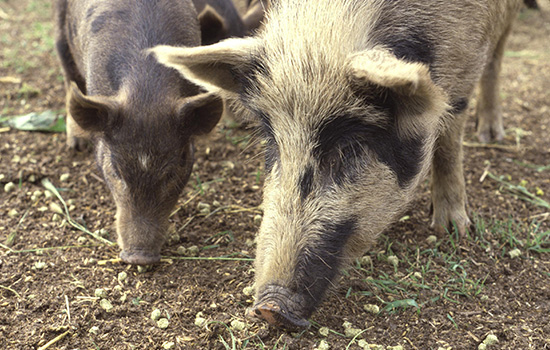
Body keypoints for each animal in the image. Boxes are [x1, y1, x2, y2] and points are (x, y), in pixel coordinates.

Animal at [56, 0, 224, 264]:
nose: (138, 257)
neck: (146, 92)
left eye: (172, 172)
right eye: (116, 171)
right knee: (68, 76)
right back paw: (76, 145)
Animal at [153, 0, 524, 328]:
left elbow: (449, 139)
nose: (269, 308)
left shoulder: (467, 56)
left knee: (496, 62)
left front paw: (452, 231)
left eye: (350, 147)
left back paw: (491, 135)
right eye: (273, 141)